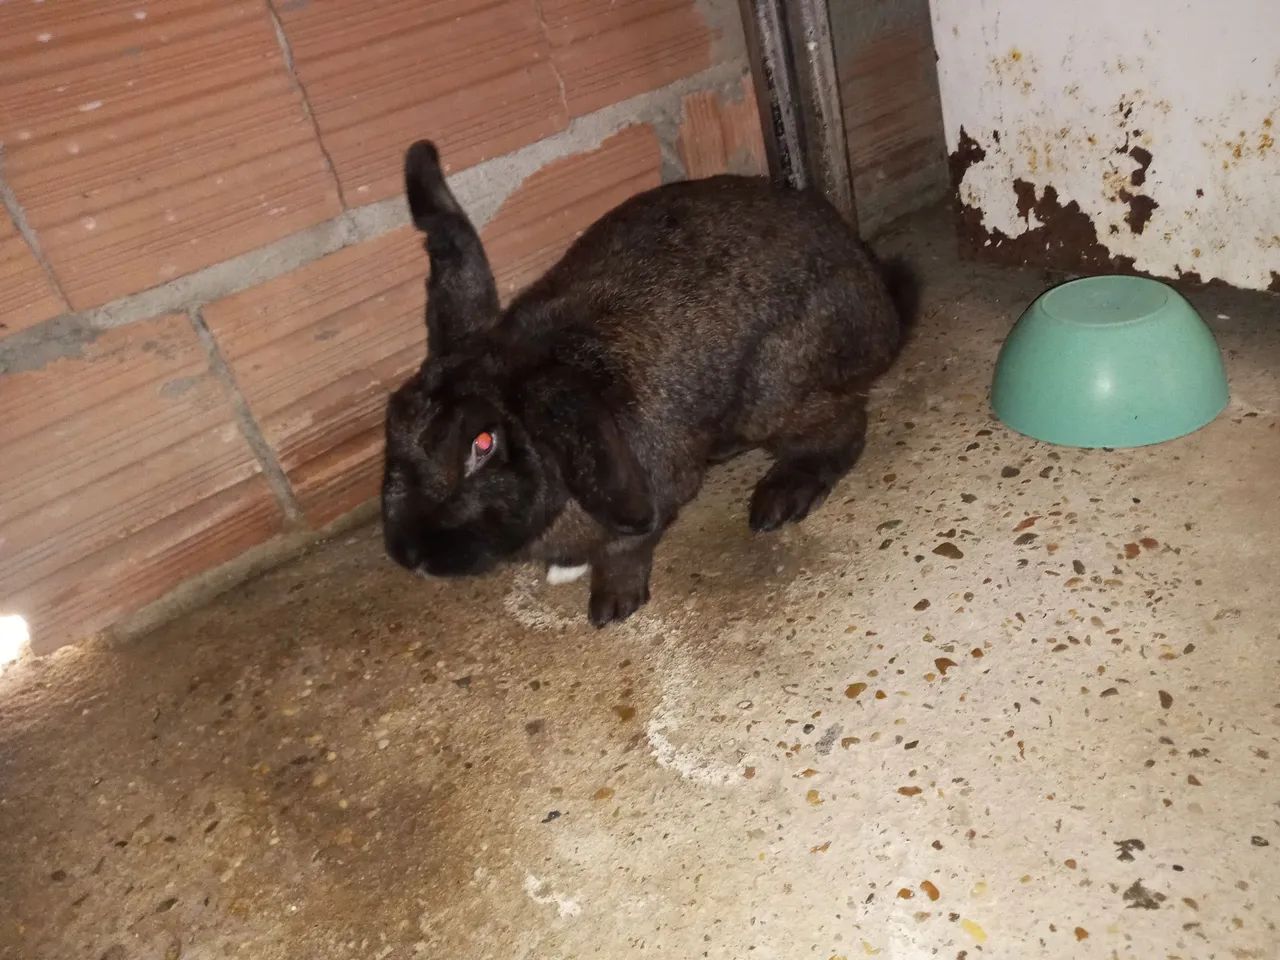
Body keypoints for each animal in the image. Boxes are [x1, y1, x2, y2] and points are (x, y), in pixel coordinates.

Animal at [381, 140, 909, 627]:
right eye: (392, 421)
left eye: (483, 443)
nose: (409, 555)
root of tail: (880, 304)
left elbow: (625, 549)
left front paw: (612, 607)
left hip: (778, 387)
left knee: (840, 430)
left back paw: (779, 499)